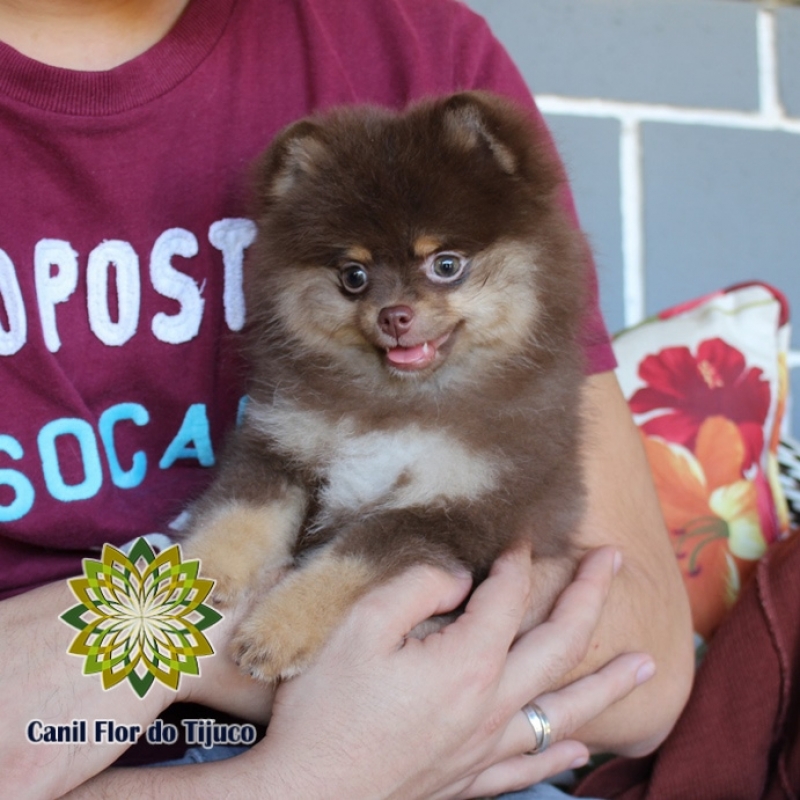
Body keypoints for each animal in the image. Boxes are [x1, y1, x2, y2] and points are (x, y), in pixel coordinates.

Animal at [184, 92, 592, 680]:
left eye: (446, 264)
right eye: (353, 276)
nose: (394, 315)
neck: (397, 404)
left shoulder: (455, 511)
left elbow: (348, 559)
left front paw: (277, 630)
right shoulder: (280, 444)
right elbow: (240, 513)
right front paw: (191, 576)